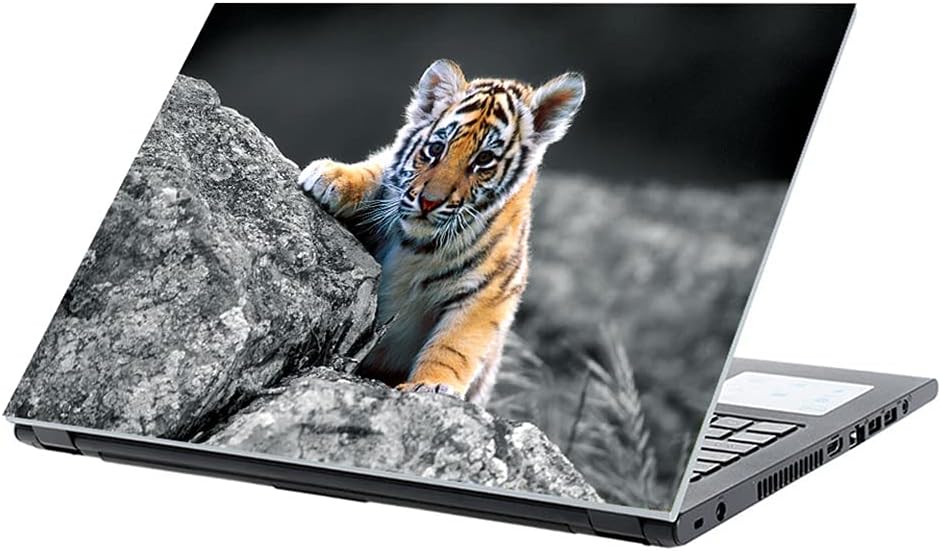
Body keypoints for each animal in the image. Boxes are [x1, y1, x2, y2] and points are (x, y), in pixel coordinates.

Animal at [298, 59, 584, 405]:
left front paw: (432, 385)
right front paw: (332, 178)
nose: (429, 202)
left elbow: (453, 346)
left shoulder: (487, 294)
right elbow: (382, 169)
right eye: (436, 149)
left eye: (484, 160)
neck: (417, 244)